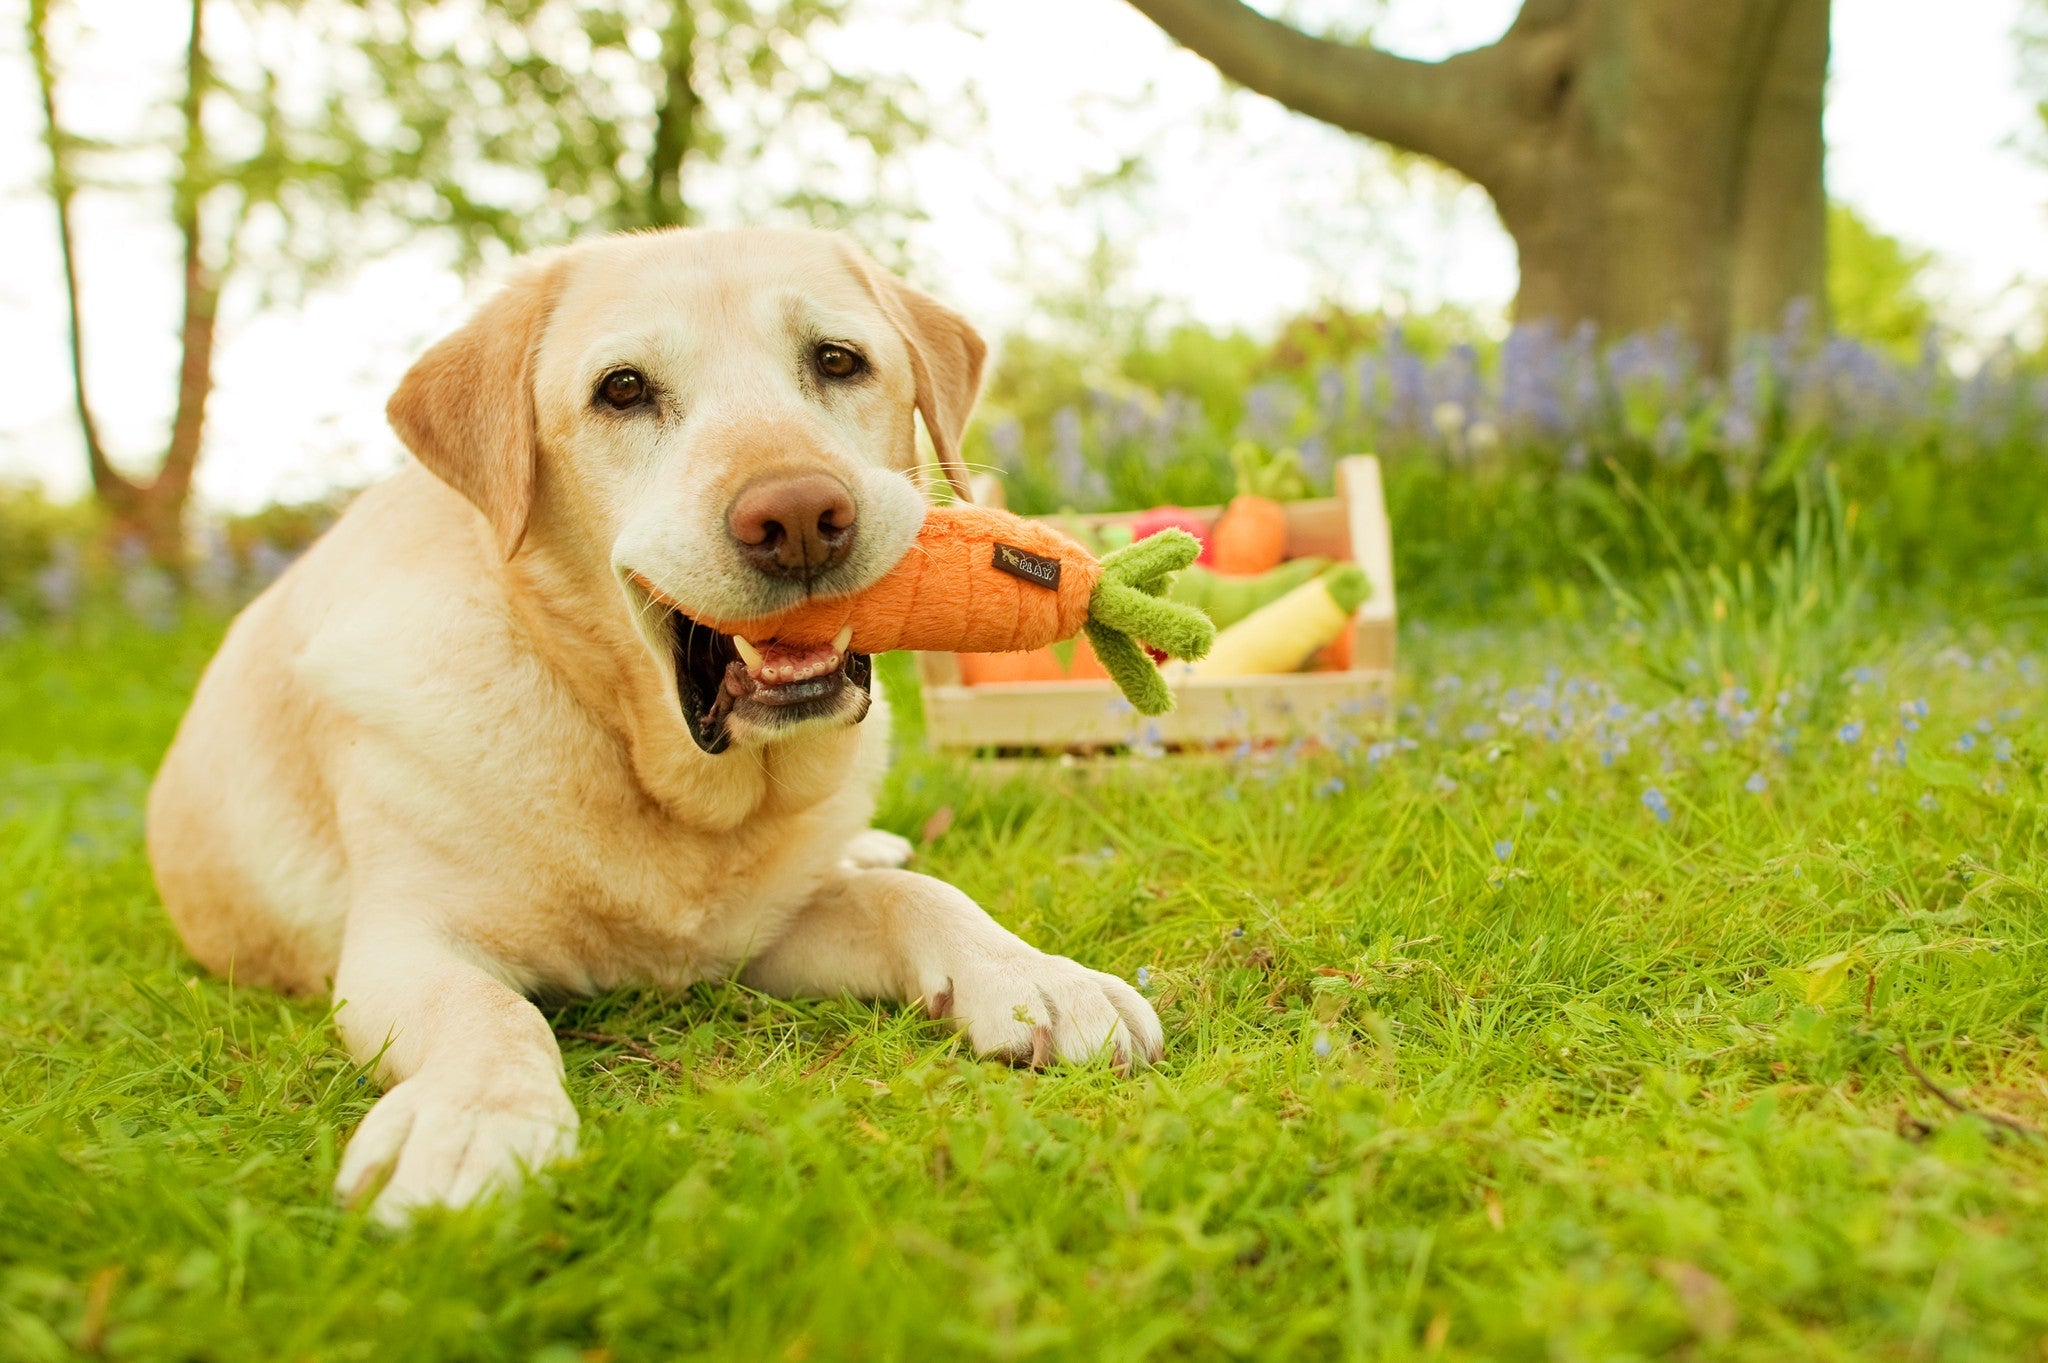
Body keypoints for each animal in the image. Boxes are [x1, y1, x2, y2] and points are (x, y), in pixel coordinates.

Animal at [148, 225, 1155, 1219]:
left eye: (837, 360)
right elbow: (488, 1011)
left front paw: (1039, 975)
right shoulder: (404, 944)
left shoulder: (761, 930)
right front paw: (473, 1118)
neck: (652, 766)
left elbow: (919, 895)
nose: (799, 515)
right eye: (622, 389)